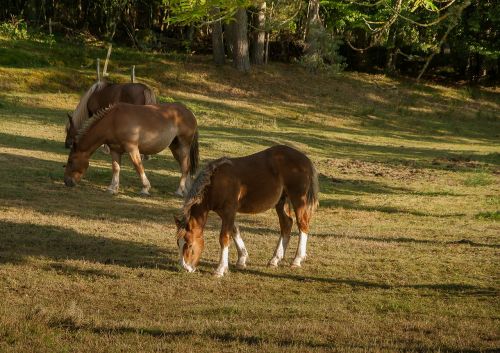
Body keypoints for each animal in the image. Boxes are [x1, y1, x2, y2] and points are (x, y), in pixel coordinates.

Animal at [64, 102, 199, 197]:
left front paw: (145, 188)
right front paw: (112, 188)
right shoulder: (115, 150)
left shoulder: (132, 148)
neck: (113, 121)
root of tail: (190, 113)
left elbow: (138, 166)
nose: (67, 182)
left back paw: (179, 191)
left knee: (185, 167)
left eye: (70, 161)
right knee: (185, 166)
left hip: (183, 145)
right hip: (175, 148)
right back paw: (186, 191)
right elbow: (116, 168)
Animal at [174, 144, 318, 276]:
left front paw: (220, 269)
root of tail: (305, 159)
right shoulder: (226, 213)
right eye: (178, 244)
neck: (215, 182)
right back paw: (274, 260)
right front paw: (241, 260)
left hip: (298, 200)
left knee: (302, 225)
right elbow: (234, 231)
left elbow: (224, 237)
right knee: (286, 224)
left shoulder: (229, 211)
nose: (186, 268)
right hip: (281, 201)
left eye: (189, 245)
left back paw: (297, 260)